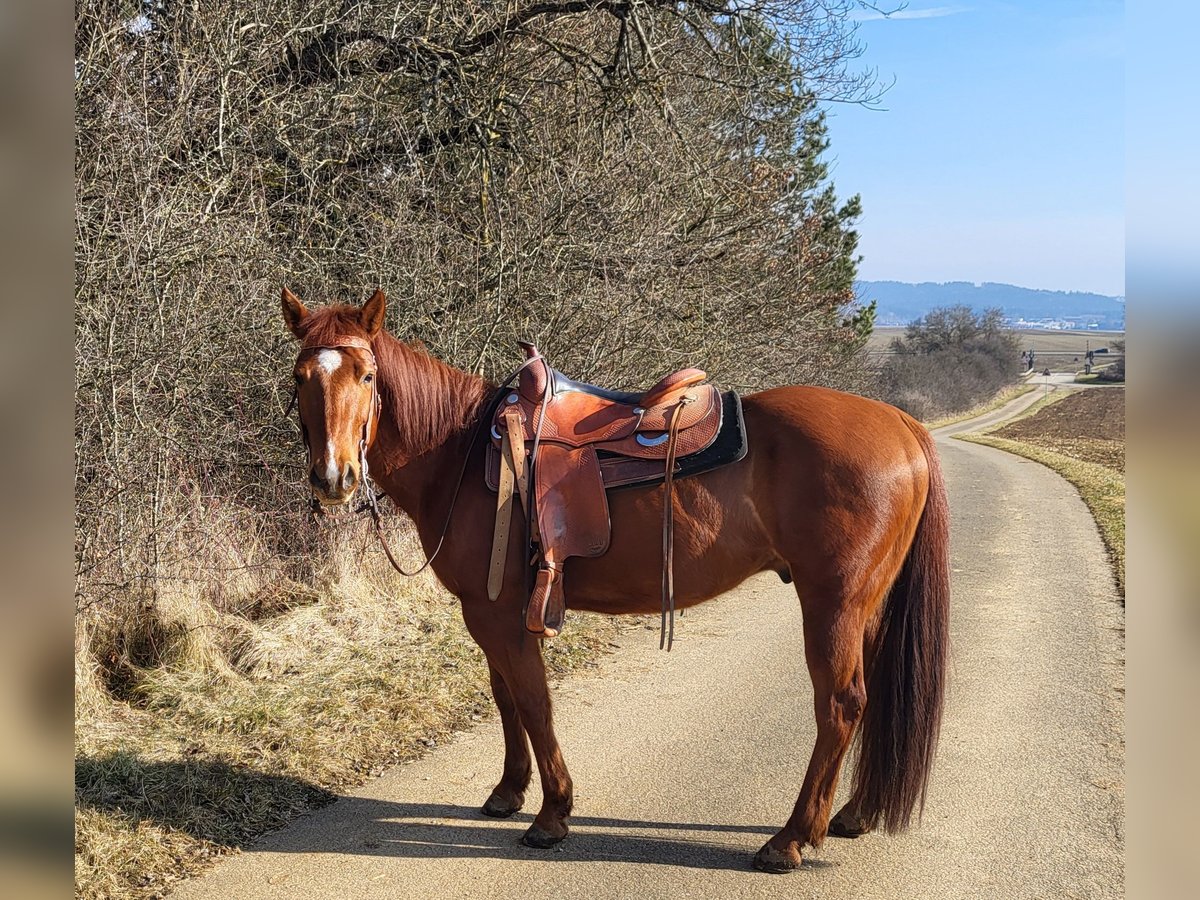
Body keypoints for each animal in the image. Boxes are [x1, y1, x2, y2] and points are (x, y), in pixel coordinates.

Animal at [280, 289, 945, 873]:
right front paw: (508, 792)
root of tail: (902, 423)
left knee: (840, 706)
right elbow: (505, 697)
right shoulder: (489, 611)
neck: (460, 454)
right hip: (866, 605)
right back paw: (854, 813)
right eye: (300, 377)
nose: (333, 478)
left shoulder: (499, 615)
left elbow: (534, 702)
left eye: (367, 376)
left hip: (832, 604)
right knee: (873, 695)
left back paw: (790, 840)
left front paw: (551, 815)